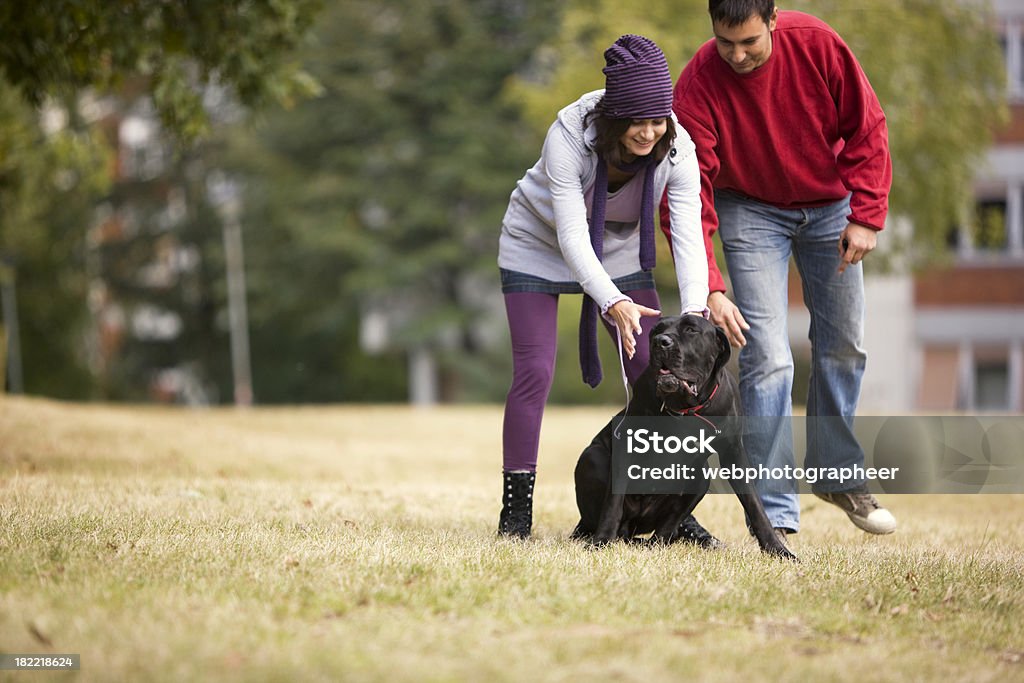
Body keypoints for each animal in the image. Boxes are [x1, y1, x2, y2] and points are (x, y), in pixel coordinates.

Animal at [573, 315, 794, 561]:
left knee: (666, 529)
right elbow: (613, 502)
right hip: (592, 457)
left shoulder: (734, 452)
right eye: (656, 330)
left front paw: (778, 549)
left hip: (700, 478)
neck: (685, 408)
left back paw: (658, 544)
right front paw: (601, 541)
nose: (660, 342)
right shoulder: (625, 446)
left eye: (691, 330)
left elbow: (755, 505)